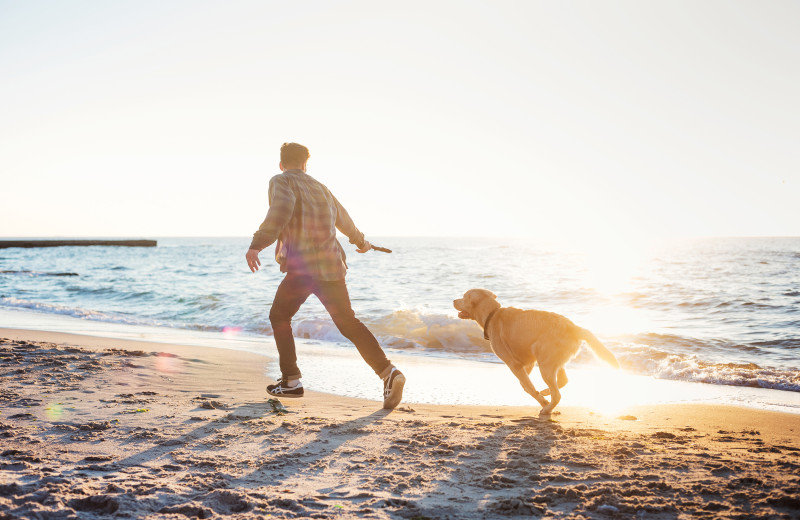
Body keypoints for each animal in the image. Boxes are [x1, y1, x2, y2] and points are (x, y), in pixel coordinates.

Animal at [450, 288, 620, 414]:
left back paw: (547, 407)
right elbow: (526, 384)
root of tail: (574, 327)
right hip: (552, 361)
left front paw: (541, 400)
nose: (453, 300)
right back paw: (546, 393)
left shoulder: (514, 364)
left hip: (545, 363)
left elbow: (528, 387)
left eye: (464, 297)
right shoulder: (528, 362)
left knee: (557, 394)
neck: (492, 315)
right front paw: (541, 395)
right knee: (562, 381)